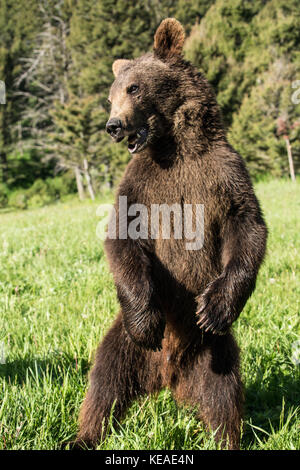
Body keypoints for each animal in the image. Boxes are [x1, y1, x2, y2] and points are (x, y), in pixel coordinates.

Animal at [72, 19, 268, 452]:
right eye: (110, 97)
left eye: (134, 88)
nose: (113, 126)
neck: (176, 148)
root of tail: (167, 375)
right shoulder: (143, 185)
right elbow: (121, 236)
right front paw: (148, 321)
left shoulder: (223, 175)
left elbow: (247, 228)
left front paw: (215, 306)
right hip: (125, 340)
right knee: (105, 380)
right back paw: (83, 436)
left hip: (213, 349)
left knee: (224, 392)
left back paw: (224, 438)